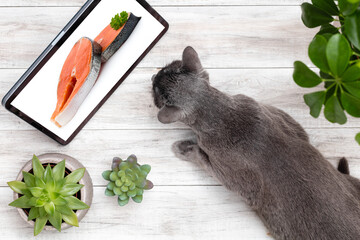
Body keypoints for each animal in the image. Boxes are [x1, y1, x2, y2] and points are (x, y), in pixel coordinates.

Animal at [152, 46, 360, 239]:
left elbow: (201, 158)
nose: (153, 76)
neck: (222, 115)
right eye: (163, 70)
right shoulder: (286, 121)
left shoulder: (231, 176)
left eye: (155, 90)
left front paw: (182, 147)